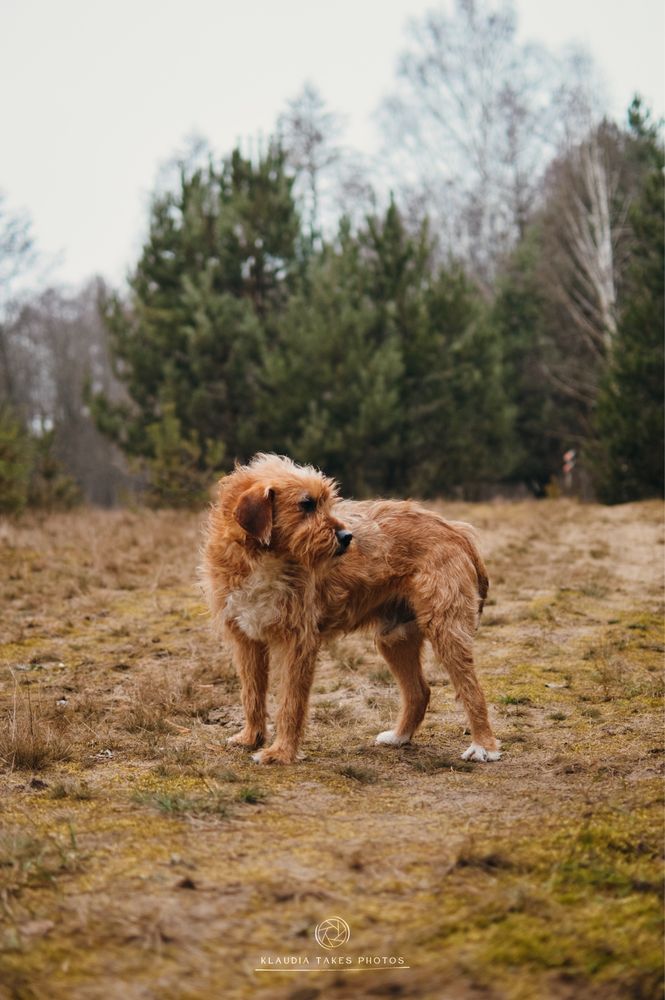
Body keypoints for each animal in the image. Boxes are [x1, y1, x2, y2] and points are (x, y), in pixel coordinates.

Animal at [200, 454, 500, 764]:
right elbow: (251, 695)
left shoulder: (298, 643)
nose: (347, 536)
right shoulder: (246, 640)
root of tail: (456, 531)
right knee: (420, 691)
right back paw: (399, 736)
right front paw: (250, 739)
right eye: (306, 504)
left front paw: (280, 752)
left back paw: (484, 746)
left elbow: (290, 704)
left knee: (472, 690)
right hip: (395, 638)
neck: (264, 558)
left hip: (446, 631)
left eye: (326, 502)